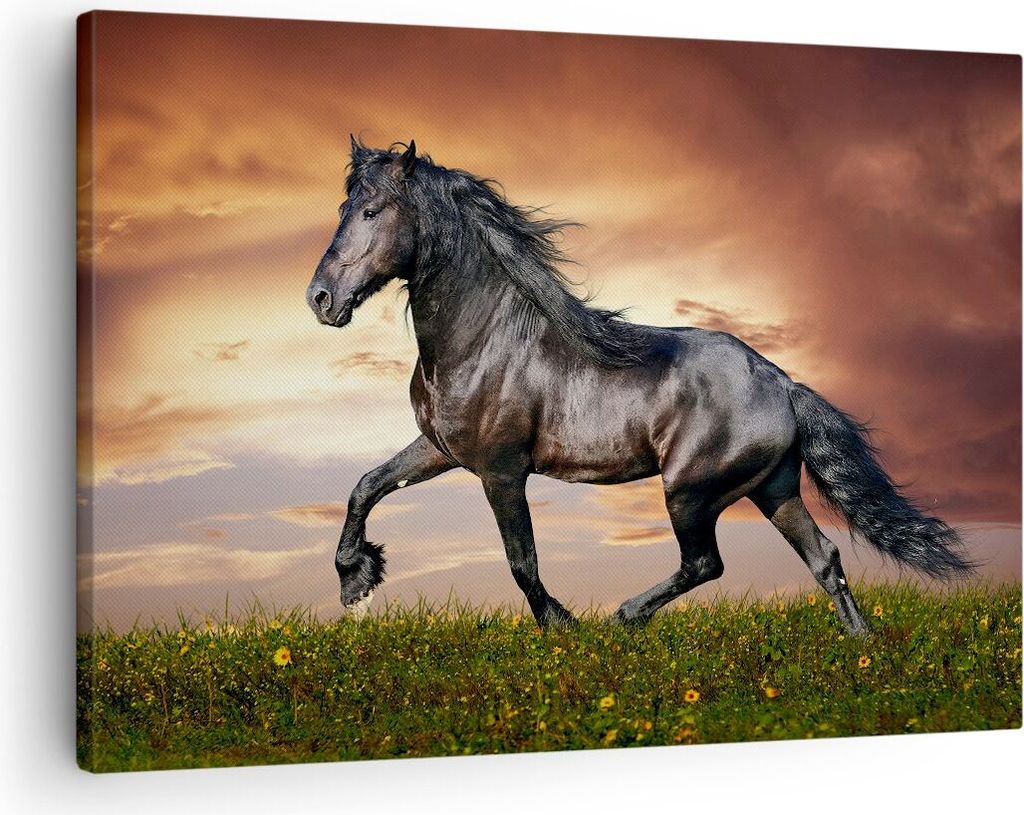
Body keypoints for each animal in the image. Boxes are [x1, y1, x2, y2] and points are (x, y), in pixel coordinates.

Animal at [306, 138, 973, 633]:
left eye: (372, 212)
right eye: (342, 210)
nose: (321, 299)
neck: (484, 340)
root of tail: (782, 383)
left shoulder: (501, 470)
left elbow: (521, 561)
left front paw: (562, 627)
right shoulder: (441, 450)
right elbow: (366, 486)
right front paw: (356, 579)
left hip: (690, 491)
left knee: (705, 563)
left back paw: (624, 617)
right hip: (774, 489)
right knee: (824, 558)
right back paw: (860, 644)